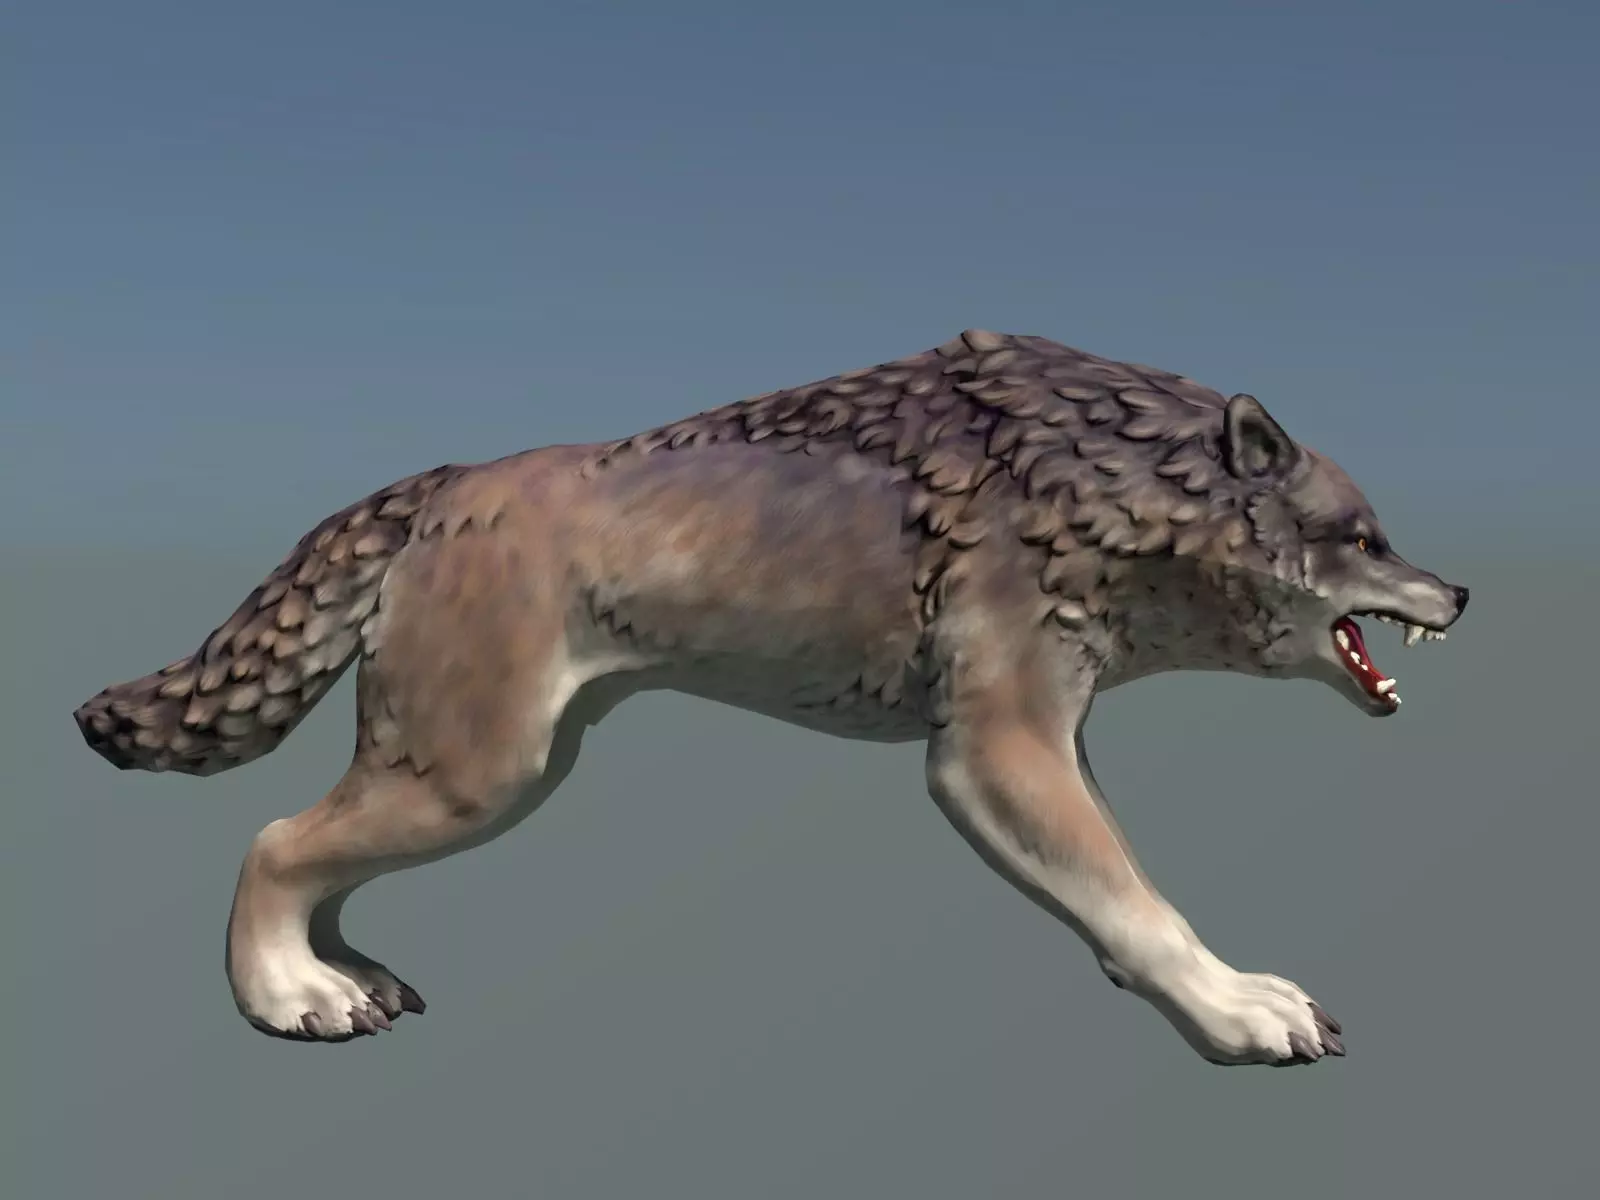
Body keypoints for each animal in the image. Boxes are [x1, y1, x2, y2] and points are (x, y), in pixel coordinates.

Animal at [74, 330, 1467, 1065]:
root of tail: (445, 480)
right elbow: (1142, 904)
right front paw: (1238, 1010)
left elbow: (1120, 891)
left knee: (319, 853)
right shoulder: (993, 753)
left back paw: (346, 976)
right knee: (274, 839)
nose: (1457, 590)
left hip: (494, 767)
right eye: (1365, 537)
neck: (1112, 493)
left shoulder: (1048, 736)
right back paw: (288, 996)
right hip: (479, 774)